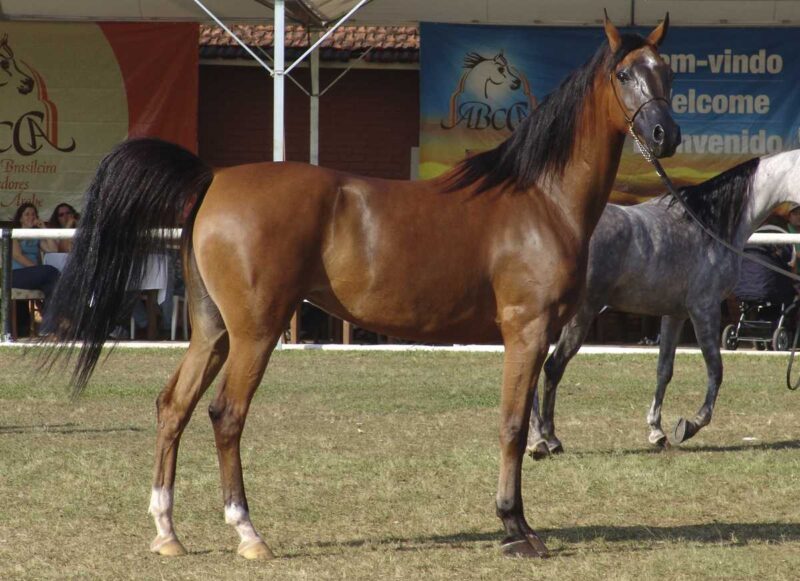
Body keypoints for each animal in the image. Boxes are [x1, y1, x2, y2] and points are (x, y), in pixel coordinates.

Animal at [43, 18, 680, 560]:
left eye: (667, 71)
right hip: (256, 332)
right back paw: (248, 534)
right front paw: (516, 528)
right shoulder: (527, 330)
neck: (537, 200)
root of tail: (213, 179)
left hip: (212, 330)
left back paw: (167, 532)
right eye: (625, 74)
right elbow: (513, 425)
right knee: (226, 414)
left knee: (173, 405)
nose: (664, 134)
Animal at [528, 147, 800, 456]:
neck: (708, 226)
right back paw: (548, 439)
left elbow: (664, 371)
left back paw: (537, 439)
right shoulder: (704, 310)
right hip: (579, 315)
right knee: (552, 367)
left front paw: (657, 431)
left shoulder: (674, 315)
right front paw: (690, 425)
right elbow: (716, 369)